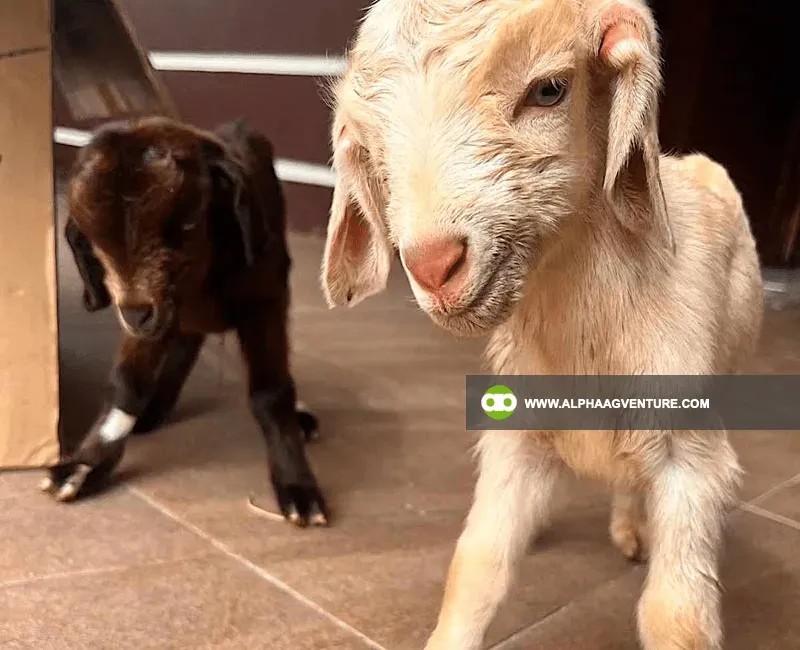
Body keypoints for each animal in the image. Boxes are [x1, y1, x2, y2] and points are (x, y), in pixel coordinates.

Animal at [45, 116, 329, 527]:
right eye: (93, 239)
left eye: (189, 223)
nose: (136, 314)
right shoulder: (150, 315)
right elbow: (126, 383)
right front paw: (83, 466)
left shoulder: (263, 302)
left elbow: (271, 392)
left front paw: (298, 488)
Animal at [321, 0, 764, 647]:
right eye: (373, 143)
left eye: (549, 89)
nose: (433, 266)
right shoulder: (518, 444)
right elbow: (477, 568)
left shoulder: (691, 460)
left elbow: (677, 617)